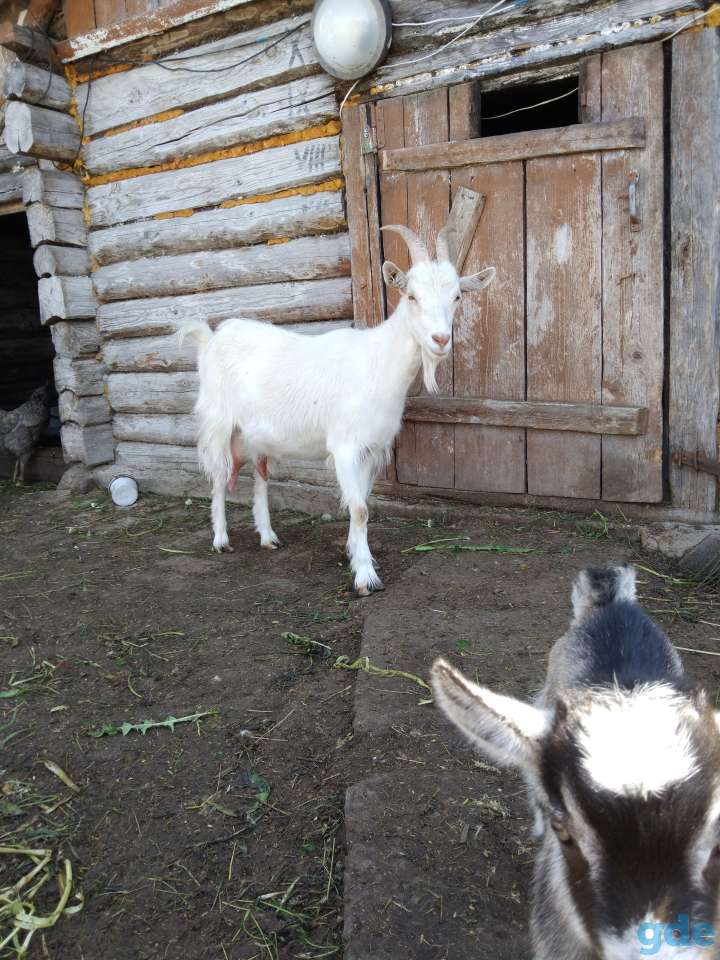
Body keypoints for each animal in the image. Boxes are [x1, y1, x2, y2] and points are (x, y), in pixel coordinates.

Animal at [180, 224, 495, 595]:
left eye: (457, 296)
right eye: (412, 296)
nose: (440, 340)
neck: (377, 362)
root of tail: (211, 339)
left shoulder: (371, 450)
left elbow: (362, 505)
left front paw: (356, 555)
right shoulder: (345, 447)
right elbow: (359, 510)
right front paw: (365, 577)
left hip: (255, 436)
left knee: (260, 476)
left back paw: (269, 537)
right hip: (219, 424)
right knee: (217, 478)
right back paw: (220, 539)